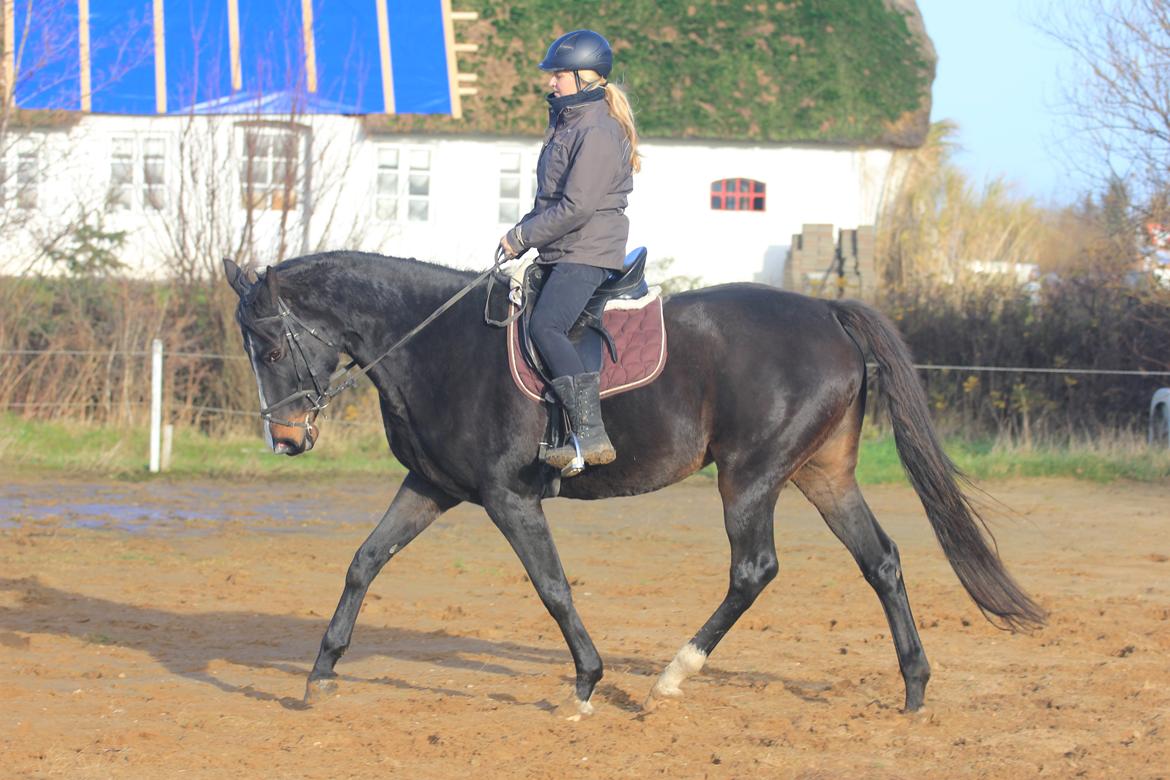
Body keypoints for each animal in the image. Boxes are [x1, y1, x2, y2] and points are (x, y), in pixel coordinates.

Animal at [223, 250, 1048, 720]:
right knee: (880, 561)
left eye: (271, 343)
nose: (286, 439)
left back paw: (673, 678)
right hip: (821, 475)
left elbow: (553, 587)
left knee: (754, 569)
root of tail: (828, 311)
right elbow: (364, 562)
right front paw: (320, 675)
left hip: (750, 476)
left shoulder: (507, 498)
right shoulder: (430, 485)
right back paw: (914, 689)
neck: (437, 341)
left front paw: (587, 684)